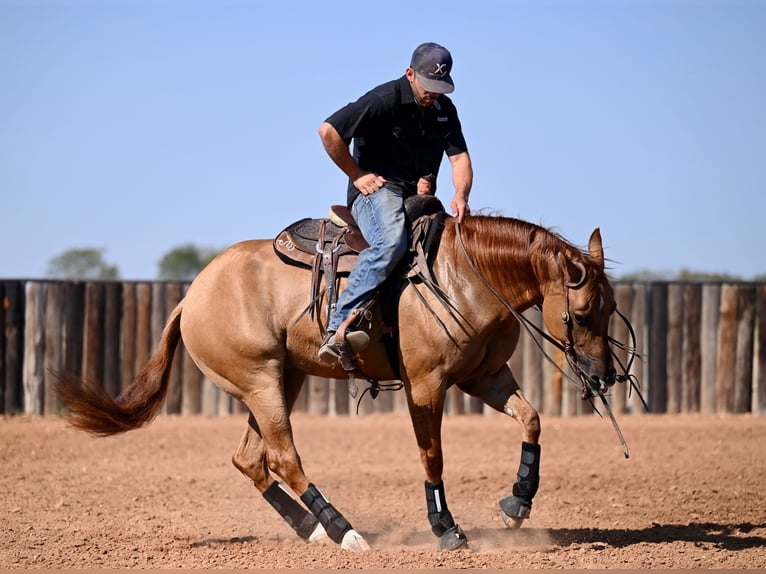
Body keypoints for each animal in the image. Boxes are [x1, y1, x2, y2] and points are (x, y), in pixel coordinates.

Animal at [55, 214, 632, 556]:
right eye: (582, 314)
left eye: (611, 310)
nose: (605, 376)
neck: (462, 276)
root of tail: (190, 295)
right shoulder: (427, 386)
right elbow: (433, 457)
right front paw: (446, 529)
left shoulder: (483, 377)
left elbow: (532, 419)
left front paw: (517, 505)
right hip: (261, 382)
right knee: (283, 457)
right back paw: (342, 530)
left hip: (280, 380)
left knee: (250, 458)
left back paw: (310, 528)